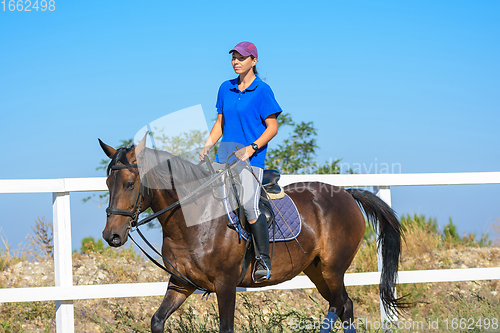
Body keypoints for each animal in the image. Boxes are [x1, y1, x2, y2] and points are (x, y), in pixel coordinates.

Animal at [98, 138, 406, 332]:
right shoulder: (180, 283)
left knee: (342, 306)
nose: (111, 235)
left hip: (333, 268)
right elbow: (157, 321)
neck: (195, 221)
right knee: (342, 306)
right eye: (108, 182)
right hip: (317, 270)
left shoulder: (225, 285)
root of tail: (346, 193)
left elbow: (226, 328)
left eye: (129, 184)